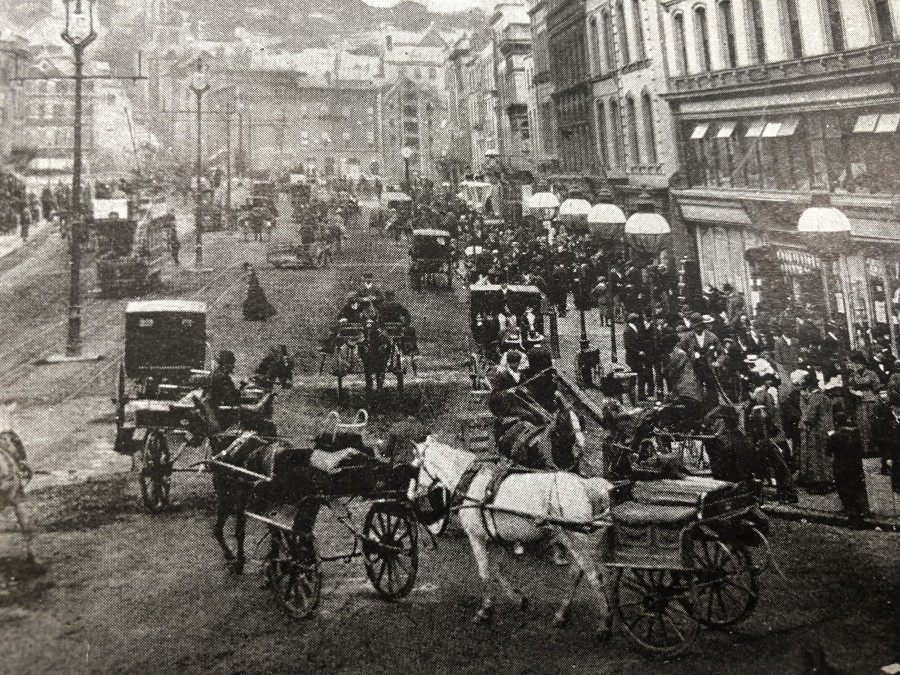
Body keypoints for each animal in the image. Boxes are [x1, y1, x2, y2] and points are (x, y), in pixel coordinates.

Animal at [414, 436, 612, 636]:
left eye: (415, 467)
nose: (411, 494)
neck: (471, 483)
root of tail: (588, 486)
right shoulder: (495, 537)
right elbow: (496, 571)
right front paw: (518, 599)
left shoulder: (476, 537)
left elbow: (485, 572)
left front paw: (484, 611)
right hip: (577, 542)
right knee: (576, 575)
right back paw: (561, 615)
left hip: (576, 541)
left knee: (594, 576)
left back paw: (604, 624)